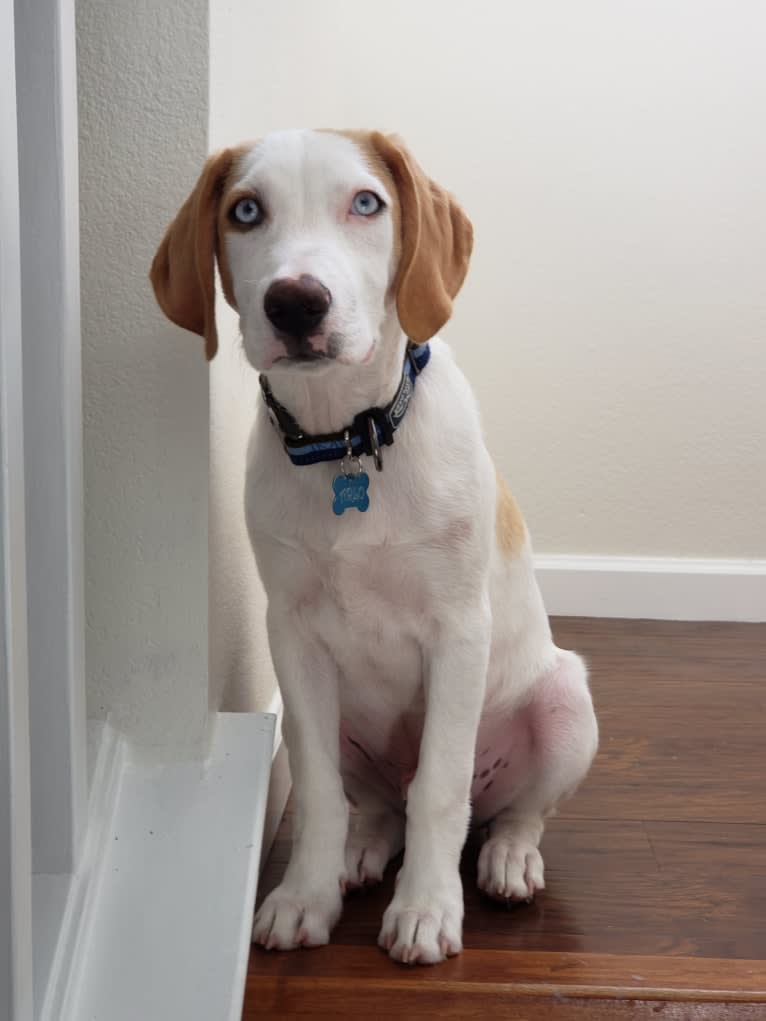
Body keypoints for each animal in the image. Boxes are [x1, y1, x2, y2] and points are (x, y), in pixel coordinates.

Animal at [150, 127, 600, 963]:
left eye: (366, 202)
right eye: (245, 210)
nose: (296, 301)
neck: (346, 442)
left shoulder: (459, 630)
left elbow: (440, 789)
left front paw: (425, 908)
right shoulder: (291, 634)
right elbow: (322, 794)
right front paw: (304, 895)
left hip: (566, 702)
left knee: (511, 807)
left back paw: (508, 858)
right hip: (339, 722)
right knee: (380, 802)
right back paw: (360, 849)